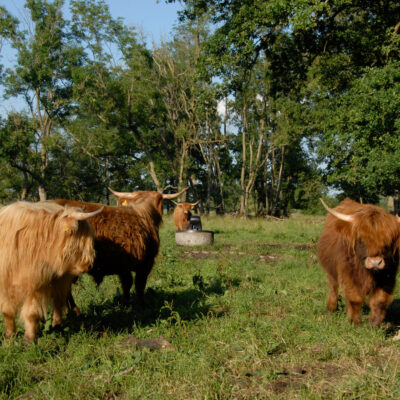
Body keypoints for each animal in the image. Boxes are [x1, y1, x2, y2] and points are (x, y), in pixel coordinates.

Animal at [0, 202, 102, 342]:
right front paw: (9, 336)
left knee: (59, 301)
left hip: (62, 279)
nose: (89, 265)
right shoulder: (5, 284)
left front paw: (29, 339)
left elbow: (31, 312)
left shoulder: (38, 285)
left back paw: (56, 324)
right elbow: (7, 311)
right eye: (83, 239)